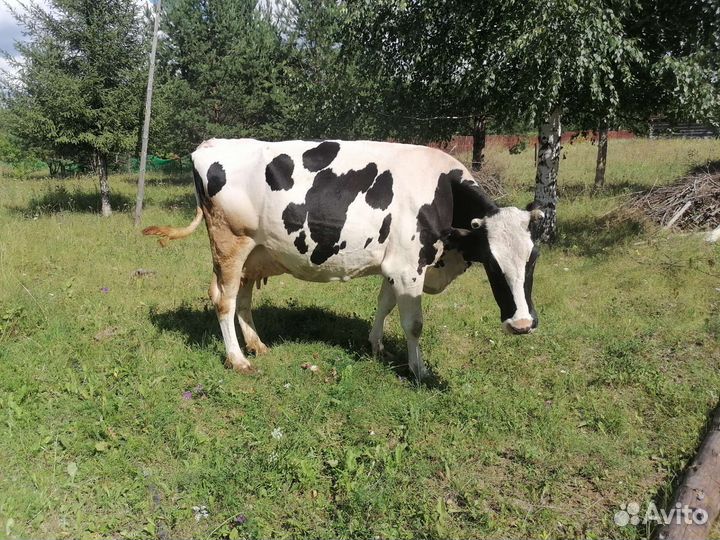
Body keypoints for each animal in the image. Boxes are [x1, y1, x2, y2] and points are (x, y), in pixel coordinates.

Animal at [143, 139, 543, 381]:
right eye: (492, 262)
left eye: (532, 261)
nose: (523, 324)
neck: (442, 193)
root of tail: (210, 144)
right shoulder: (408, 267)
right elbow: (413, 324)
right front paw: (418, 371)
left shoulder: (394, 264)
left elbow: (384, 305)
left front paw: (376, 346)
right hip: (230, 243)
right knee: (224, 299)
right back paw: (237, 358)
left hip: (255, 251)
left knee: (242, 297)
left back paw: (256, 345)